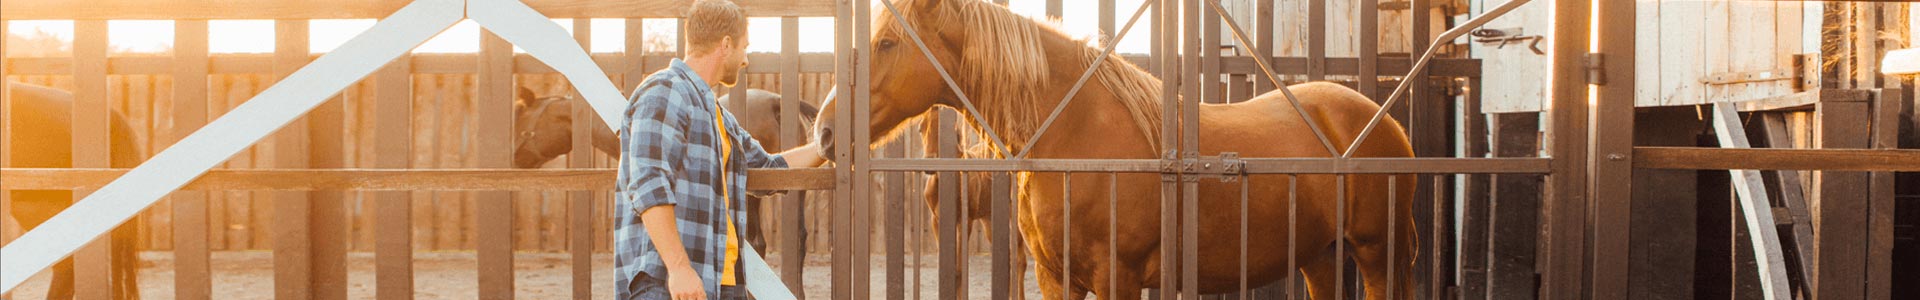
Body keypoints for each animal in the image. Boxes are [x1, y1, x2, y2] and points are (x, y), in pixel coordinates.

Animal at [802, 0, 1420, 298]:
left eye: (887, 42)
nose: (825, 131)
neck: (1073, 135)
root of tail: (1383, 123)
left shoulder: (1117, 278)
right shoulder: (1056, 278)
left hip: (1376, 254)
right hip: (1320, 256)